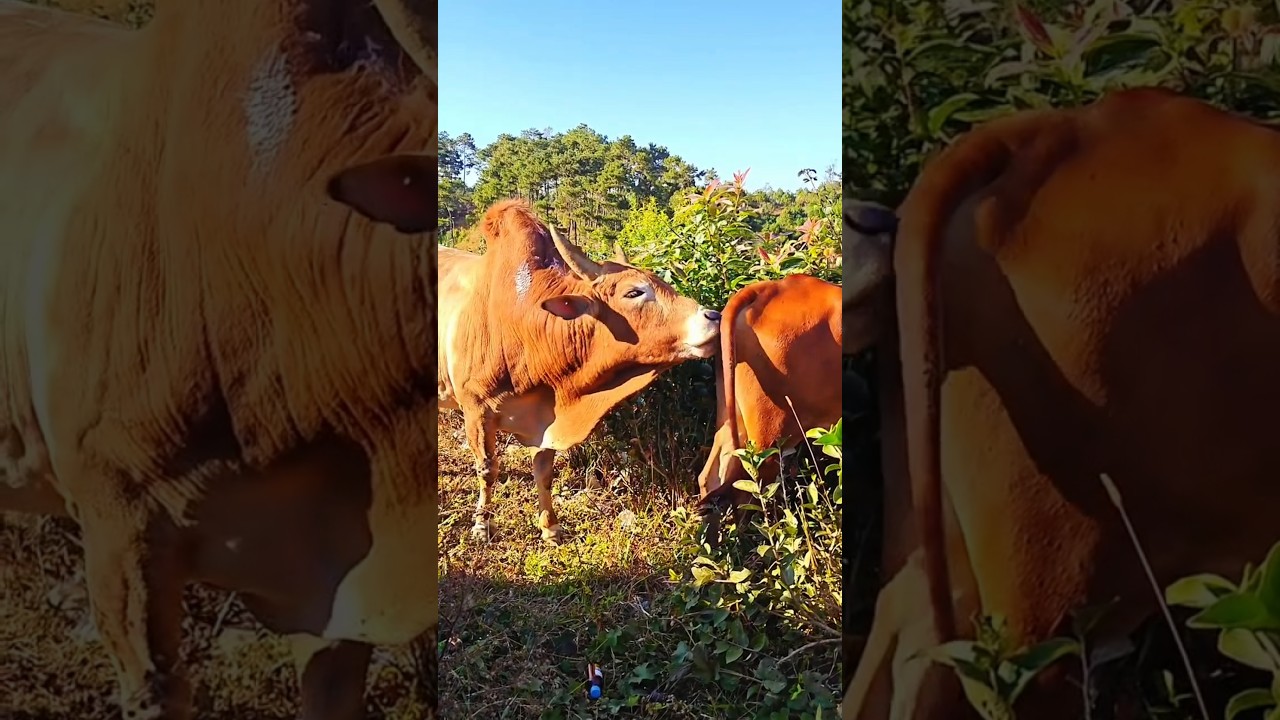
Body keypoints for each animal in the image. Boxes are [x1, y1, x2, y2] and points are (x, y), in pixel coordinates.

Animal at [438, 199, 722, 544]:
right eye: (634, 292)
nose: (714, 316)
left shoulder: (544, 421)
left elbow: (544, 472)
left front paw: (550, 527)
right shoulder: (476, 409)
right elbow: (487, 469)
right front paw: (482, 524)